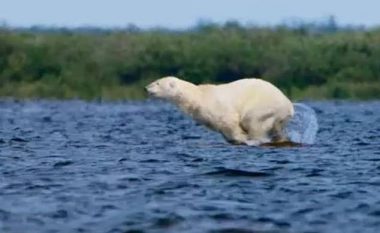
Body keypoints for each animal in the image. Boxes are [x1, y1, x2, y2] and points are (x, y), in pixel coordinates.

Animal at [145, 76, 294, 146]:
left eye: (157, 83)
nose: (147, 87)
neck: (200, 97)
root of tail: (289, 105)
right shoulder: (207, 116)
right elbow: (221, 128)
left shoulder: (219, 107)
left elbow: (230, 122)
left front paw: (242, 137)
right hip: (278, 115)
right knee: (277, 128)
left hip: (264, 105)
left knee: (253, 121)